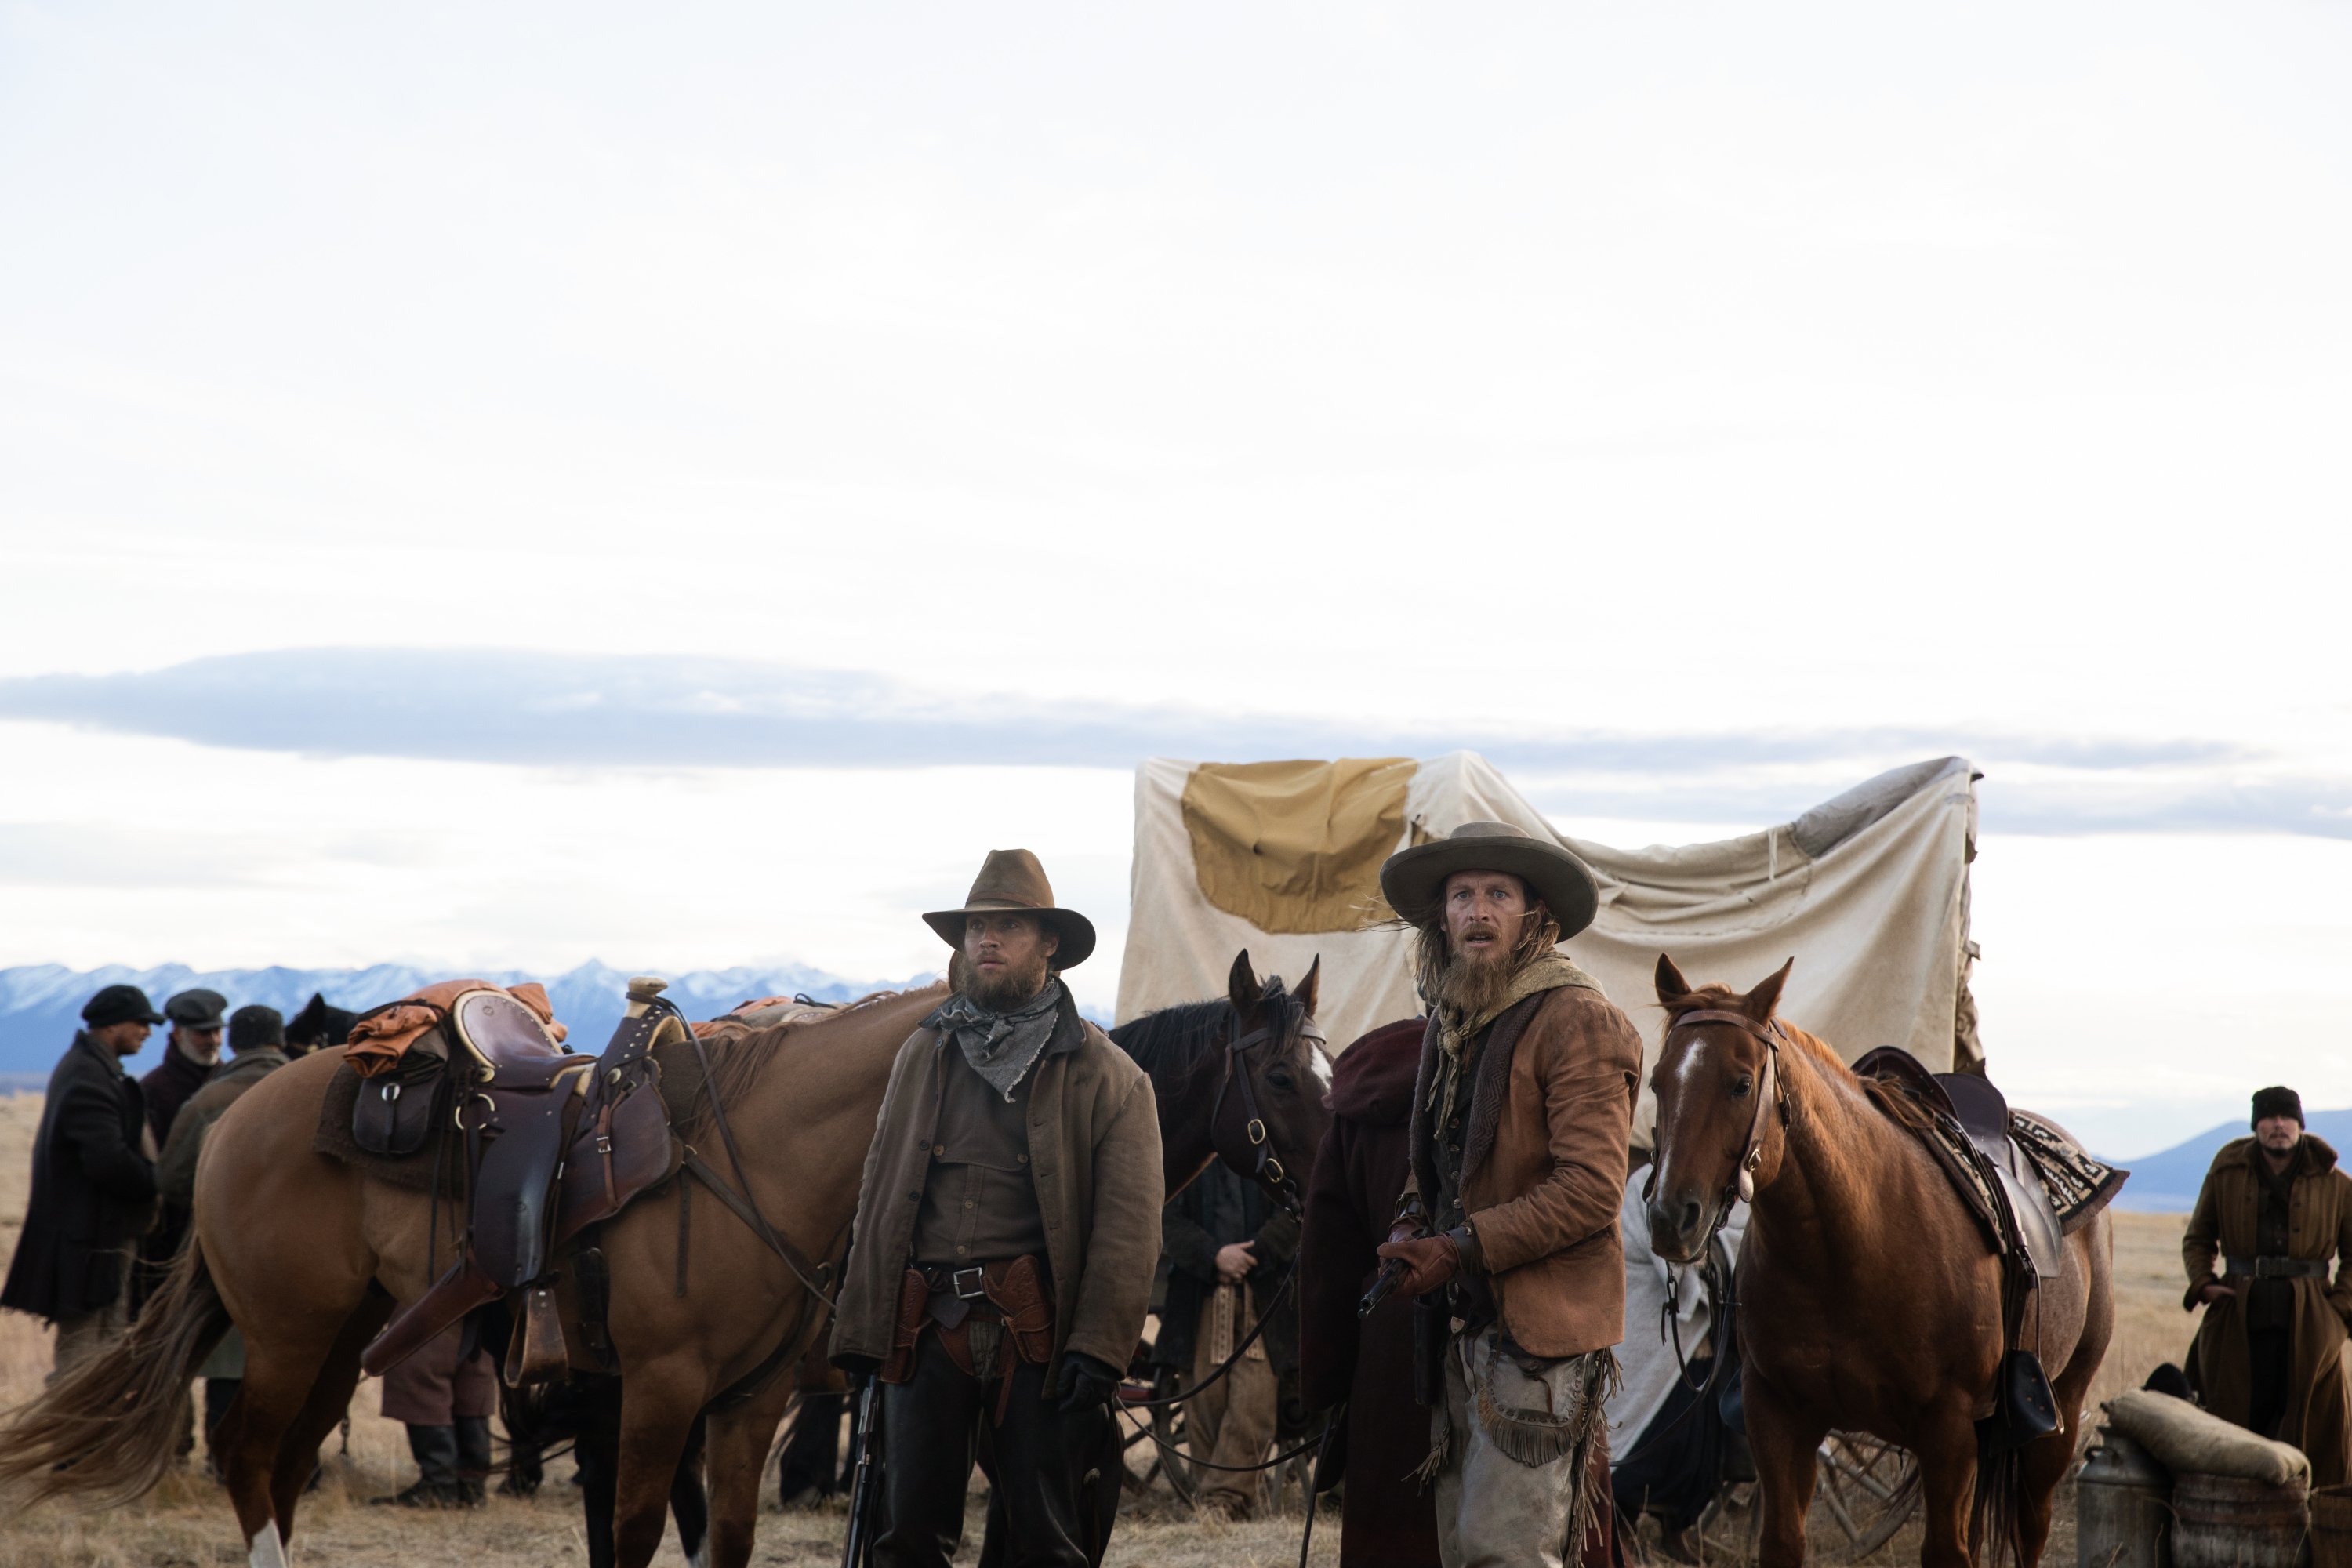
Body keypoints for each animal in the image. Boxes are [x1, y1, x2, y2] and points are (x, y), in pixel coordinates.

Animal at [0, 945, 1327, 1568]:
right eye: (1274, 1073)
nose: (1321, 1200)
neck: (754, 1155)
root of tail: (245, 1108)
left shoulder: (745, 1403)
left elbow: (721, 1538)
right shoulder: (659, 1393)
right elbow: (639, 1532)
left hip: (342, 1334)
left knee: (274, 1465)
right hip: (286, 1333)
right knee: (248, 1457)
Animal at [1637, 959, 2117, 1568]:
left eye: (1741, 1083)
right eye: (1657, 1081)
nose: (1670, 1218)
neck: (1846, 1252)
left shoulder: (1949, 1432)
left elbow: (1946, 1551)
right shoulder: (1777, 1417)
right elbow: (1782, 1541)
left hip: (2062, 1409)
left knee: (2031, 1528)